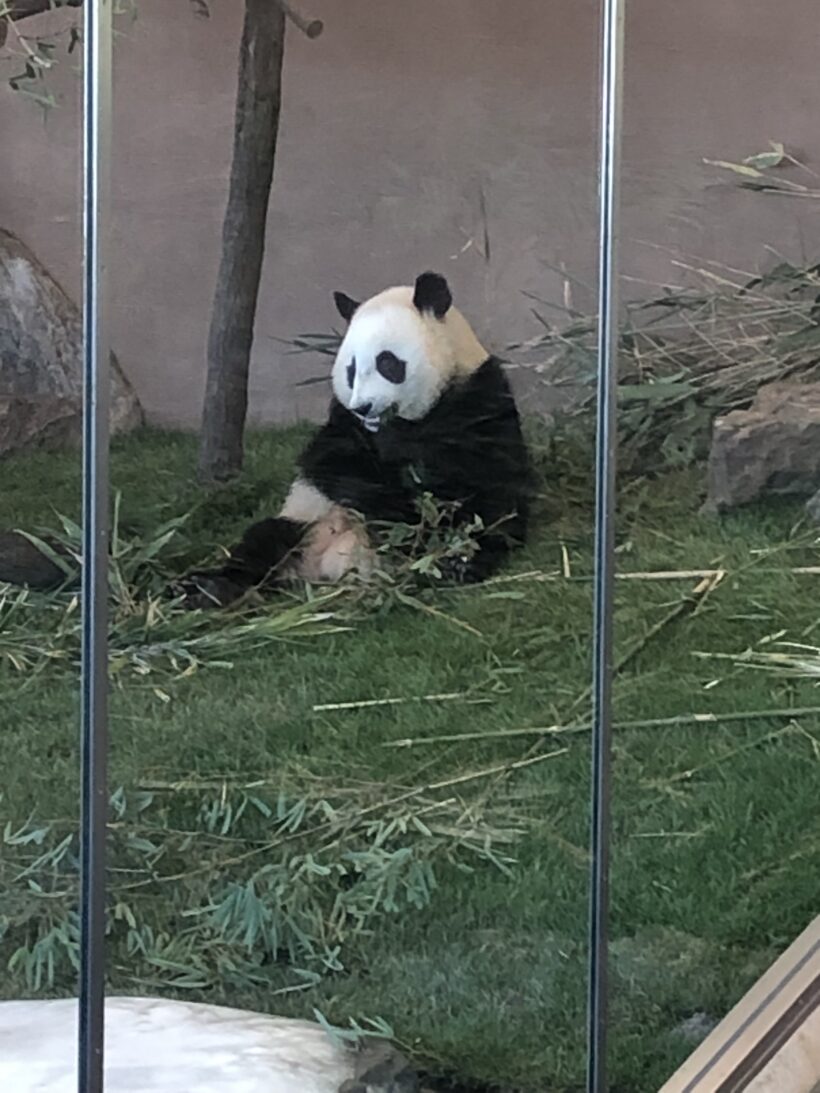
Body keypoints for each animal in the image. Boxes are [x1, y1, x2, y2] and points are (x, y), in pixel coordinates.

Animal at [181, 269, 533, 612]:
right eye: (350, 369)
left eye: (387, 362)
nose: (364, 406)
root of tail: (331, 571)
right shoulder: (343, 420)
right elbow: (332, 461)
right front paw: (385, 502)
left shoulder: (478, 399)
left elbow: (480, 474)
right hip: (306, 522)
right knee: (263, 541)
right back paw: (210, 588)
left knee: (486, 527)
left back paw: (455, 562)